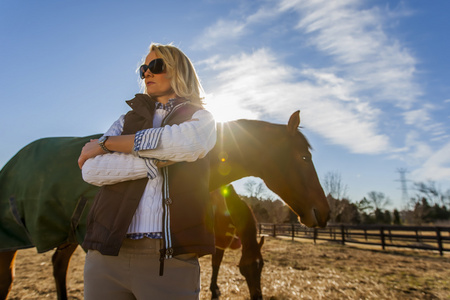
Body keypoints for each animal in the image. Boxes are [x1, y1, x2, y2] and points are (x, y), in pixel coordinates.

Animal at [0, 110, 330, 300]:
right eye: (303, 157)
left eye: (260, 268)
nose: (324, 212)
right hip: (10, 240)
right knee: (8, 279)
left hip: (66, 233)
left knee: (58, 264)